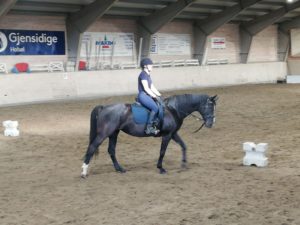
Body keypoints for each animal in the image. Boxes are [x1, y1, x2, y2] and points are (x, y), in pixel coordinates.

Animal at [82, 93, 218, 178]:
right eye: (209, 106)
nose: (211, 123)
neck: (173, 109)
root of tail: (104, 107)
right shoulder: (167, 135)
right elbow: (162, 151)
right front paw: (161, 168)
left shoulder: (173, 133)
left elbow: (183, 146)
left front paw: (184, 164)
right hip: (104, 133)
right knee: (92, 148)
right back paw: (84, 172)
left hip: (114, 133)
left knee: (111, 150)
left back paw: (119, 169)